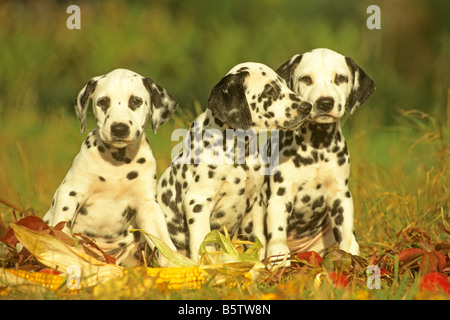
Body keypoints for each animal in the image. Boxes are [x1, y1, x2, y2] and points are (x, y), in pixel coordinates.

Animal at [43, 68, 178, 264]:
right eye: (103, 102)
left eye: (135, 101)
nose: (119, 129)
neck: (118, 163)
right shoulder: (70, 193)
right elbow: (63, 228)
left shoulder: (148, 206)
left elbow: (164, 244)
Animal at [156, 62, 312, 260]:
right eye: (270, 91)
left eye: (285, 85)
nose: (308, 106)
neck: (238, 154)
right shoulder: (197, 204)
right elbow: (204, 247)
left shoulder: (255, 203)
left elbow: (258, 241)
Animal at [268, 47, 376, 262]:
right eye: (306, 79)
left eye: (341, 78)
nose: (325, 102)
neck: (316, 147)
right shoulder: (280, 195)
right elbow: (277, 239)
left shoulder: (340, 196)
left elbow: (347, 238)